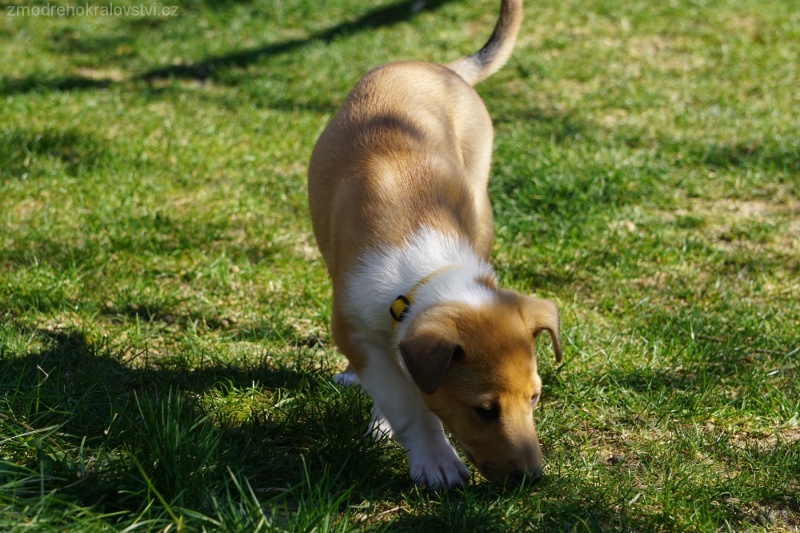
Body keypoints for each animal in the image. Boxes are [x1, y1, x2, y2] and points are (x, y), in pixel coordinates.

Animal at [308, 0, 564, 488]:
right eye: (484, 410)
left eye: (535, 397)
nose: (532, 478)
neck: (428, 268)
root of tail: (437, 67)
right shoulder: (356, 330)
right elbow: (406, 400)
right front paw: (436, 462)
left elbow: (405, 388)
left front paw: (389, 429)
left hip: (481, 196)